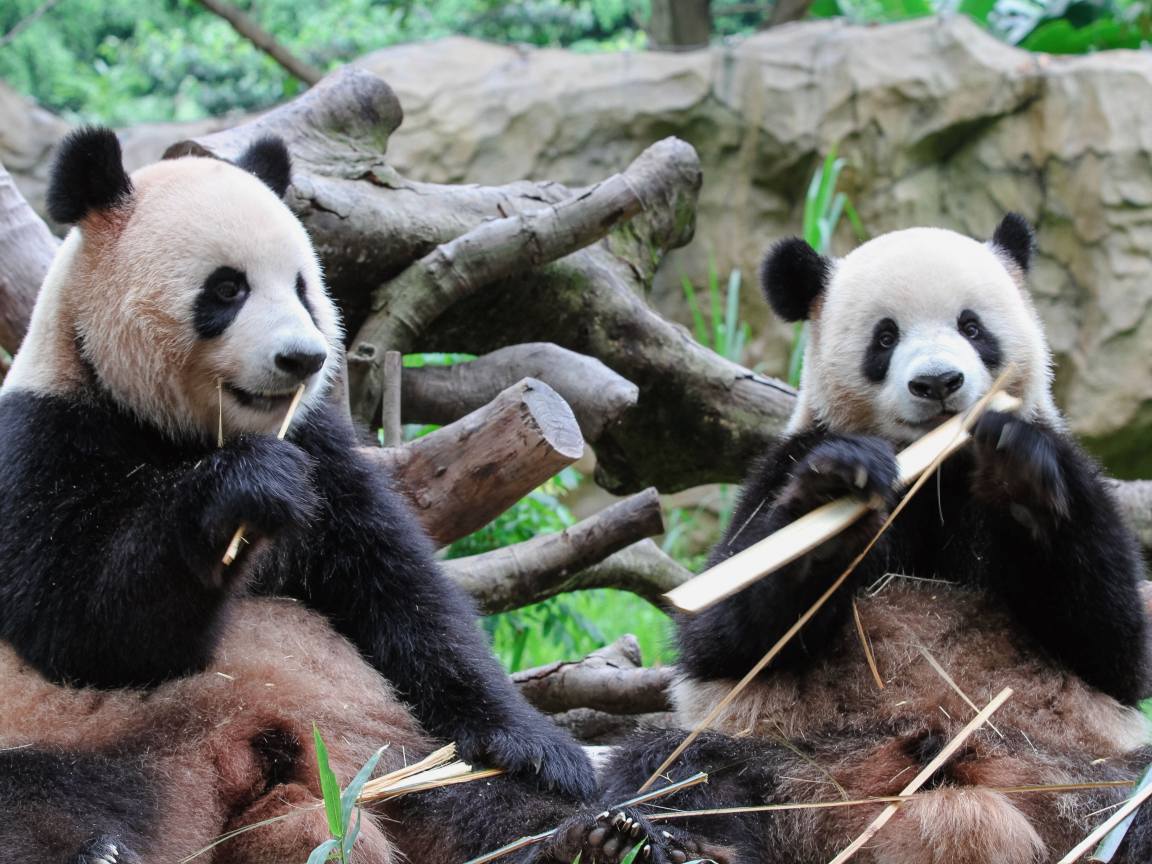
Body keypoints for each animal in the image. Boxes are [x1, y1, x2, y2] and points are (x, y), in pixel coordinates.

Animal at [0, 126, 647, 863]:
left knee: (465, 799)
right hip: (79, 737)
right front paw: (245, 490)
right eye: (227, 288)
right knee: (49, 793)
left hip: (384, 749)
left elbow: (403, 598)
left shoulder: (326, 454)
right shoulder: (44, 440)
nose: (303, 358)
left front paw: (539, 748)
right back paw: (99, 848)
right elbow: (85, 632)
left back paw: (590, 837)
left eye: (304, 287)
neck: (178, 431)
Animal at [582, 216, 1152, 863]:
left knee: (1134, 800)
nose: (938, 382)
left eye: (971, 326)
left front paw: (1018, 474)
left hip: (1077, 774)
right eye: (885, 337)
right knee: (682, 768)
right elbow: (722, 639)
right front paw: (843, 491)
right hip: (792, 761)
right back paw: (652, 840)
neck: (935, 468)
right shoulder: (783, 465)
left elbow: (1114, 645)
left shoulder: (1072, 472)